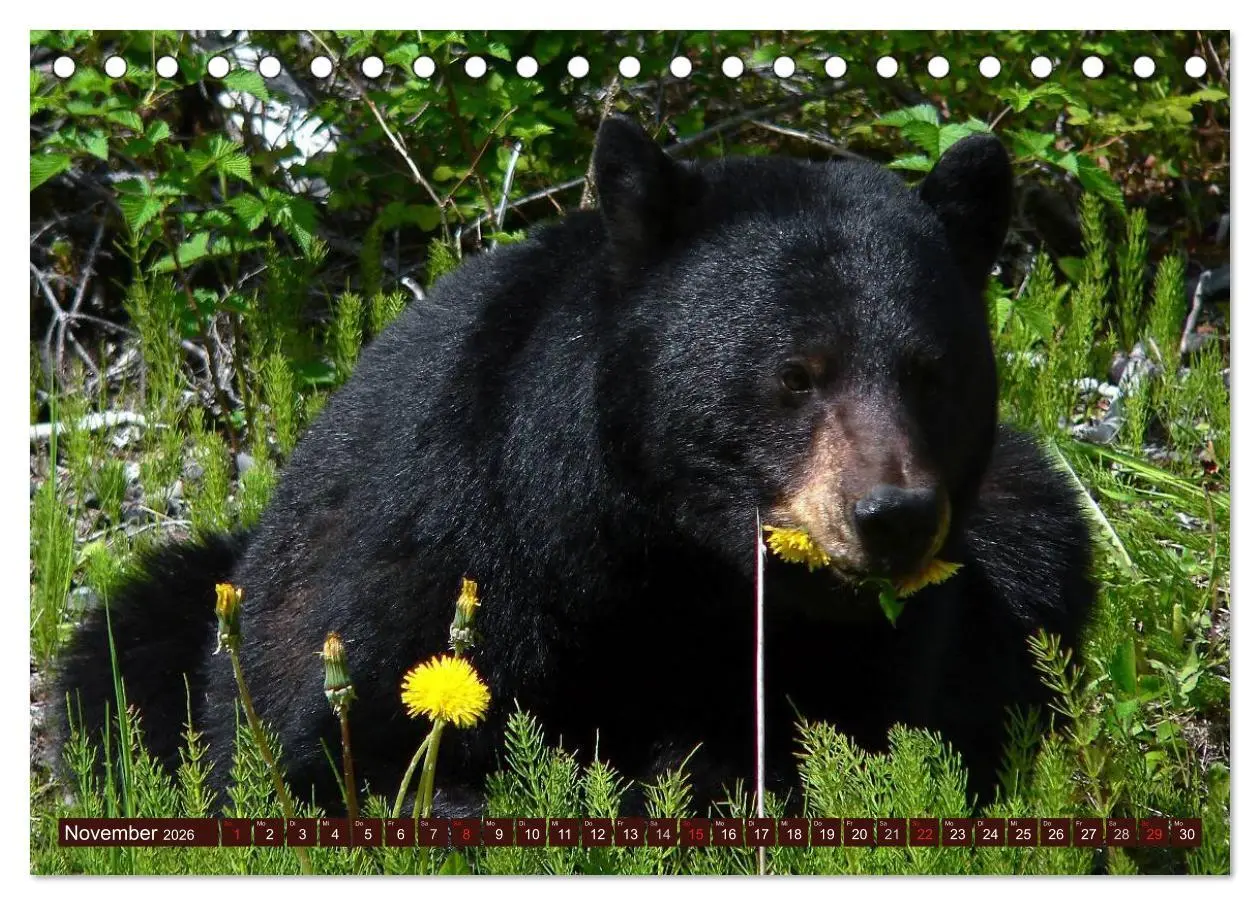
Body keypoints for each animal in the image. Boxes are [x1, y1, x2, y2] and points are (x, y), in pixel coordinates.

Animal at [54, 115, 1095, 815]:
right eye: (797, 373)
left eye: (932, 371)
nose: (892, 515)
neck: (658, 552)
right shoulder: (440, 542)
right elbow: (337, 748)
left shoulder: (880, 638)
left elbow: (859, 735)